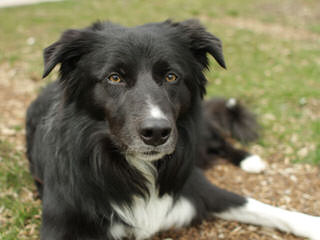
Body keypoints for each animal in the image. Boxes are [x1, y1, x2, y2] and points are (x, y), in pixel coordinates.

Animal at [25, 19, 320, 239]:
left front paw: (311, 224)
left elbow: (259, 205)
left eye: (171, 76)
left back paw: (249, 159)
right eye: (115, 78)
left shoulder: (197, 185)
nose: (156, 133)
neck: (138, 170)